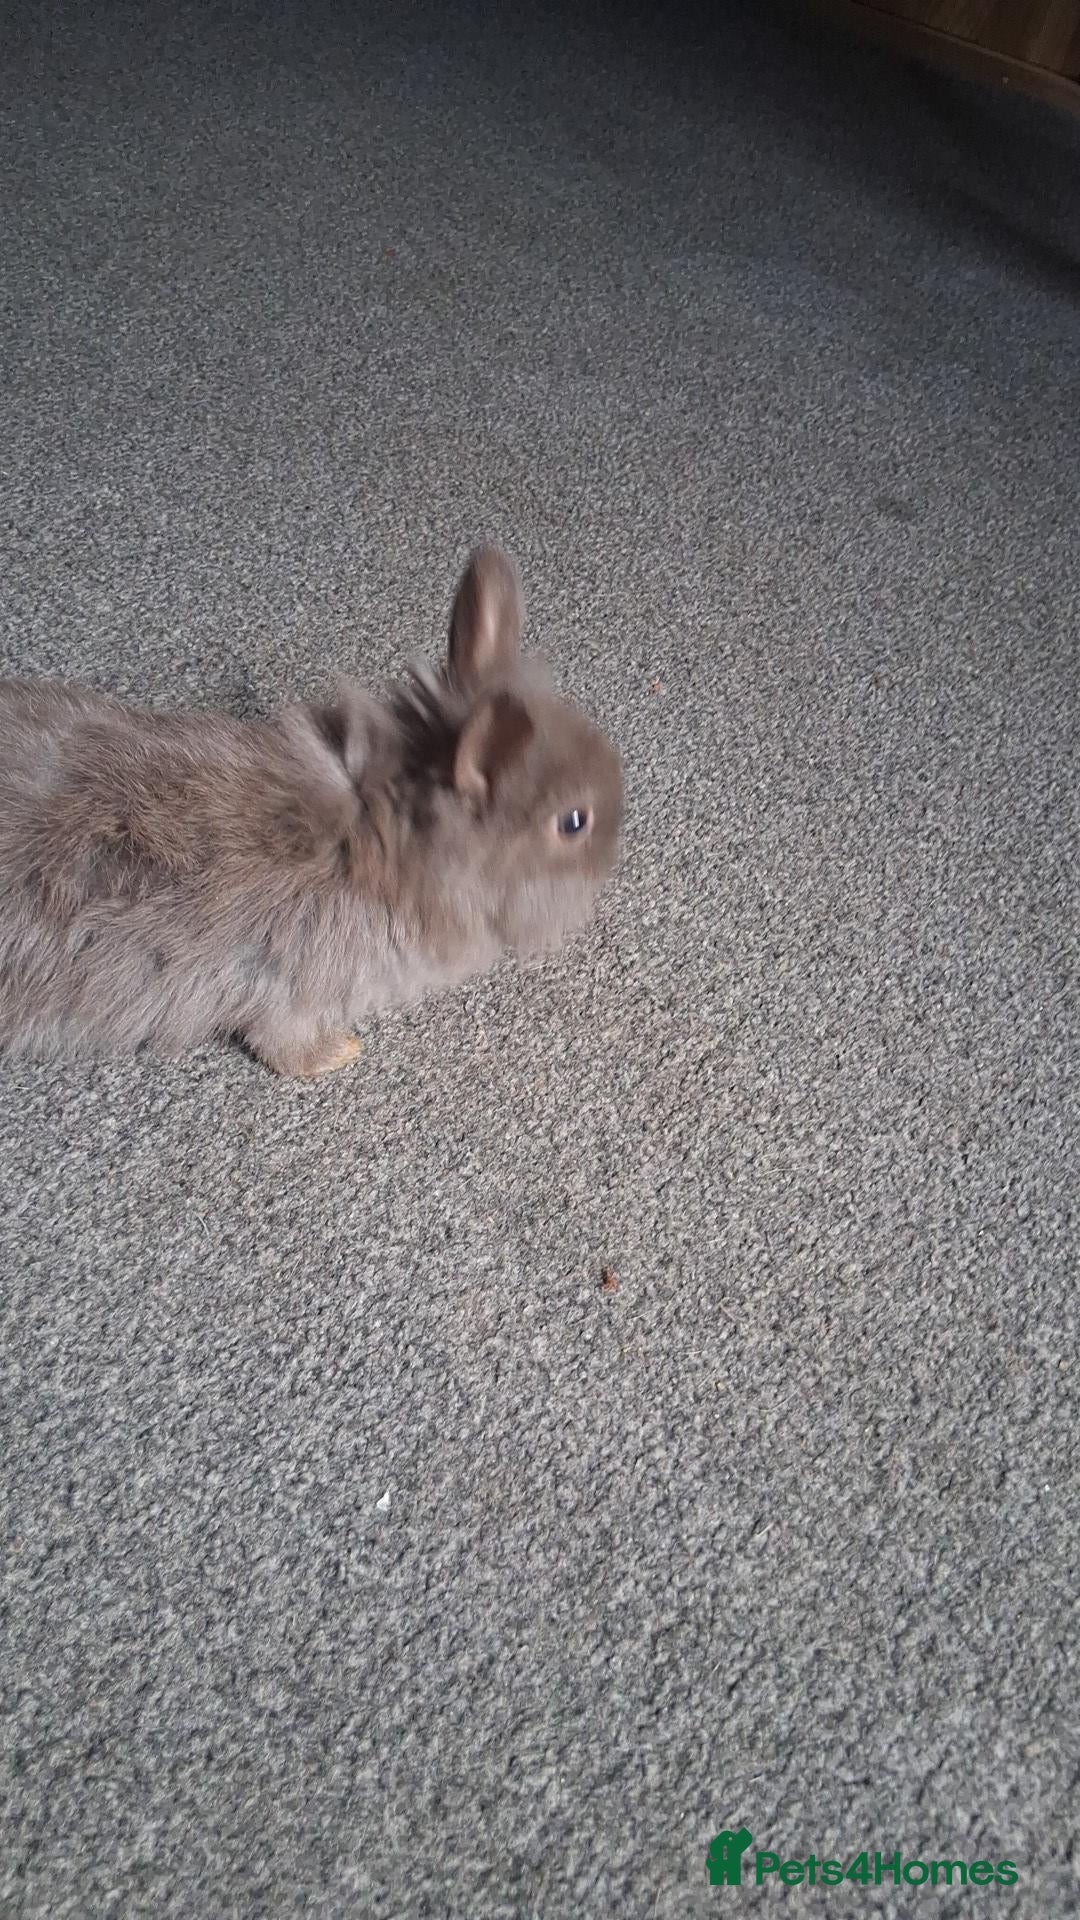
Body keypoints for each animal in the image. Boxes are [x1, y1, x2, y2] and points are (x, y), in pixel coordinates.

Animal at [0, 547, 623, 1074]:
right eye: (574, 822)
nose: (612, 861)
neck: (381, 840)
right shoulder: (290, 988)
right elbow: (281, 1044)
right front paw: (339, 1054)